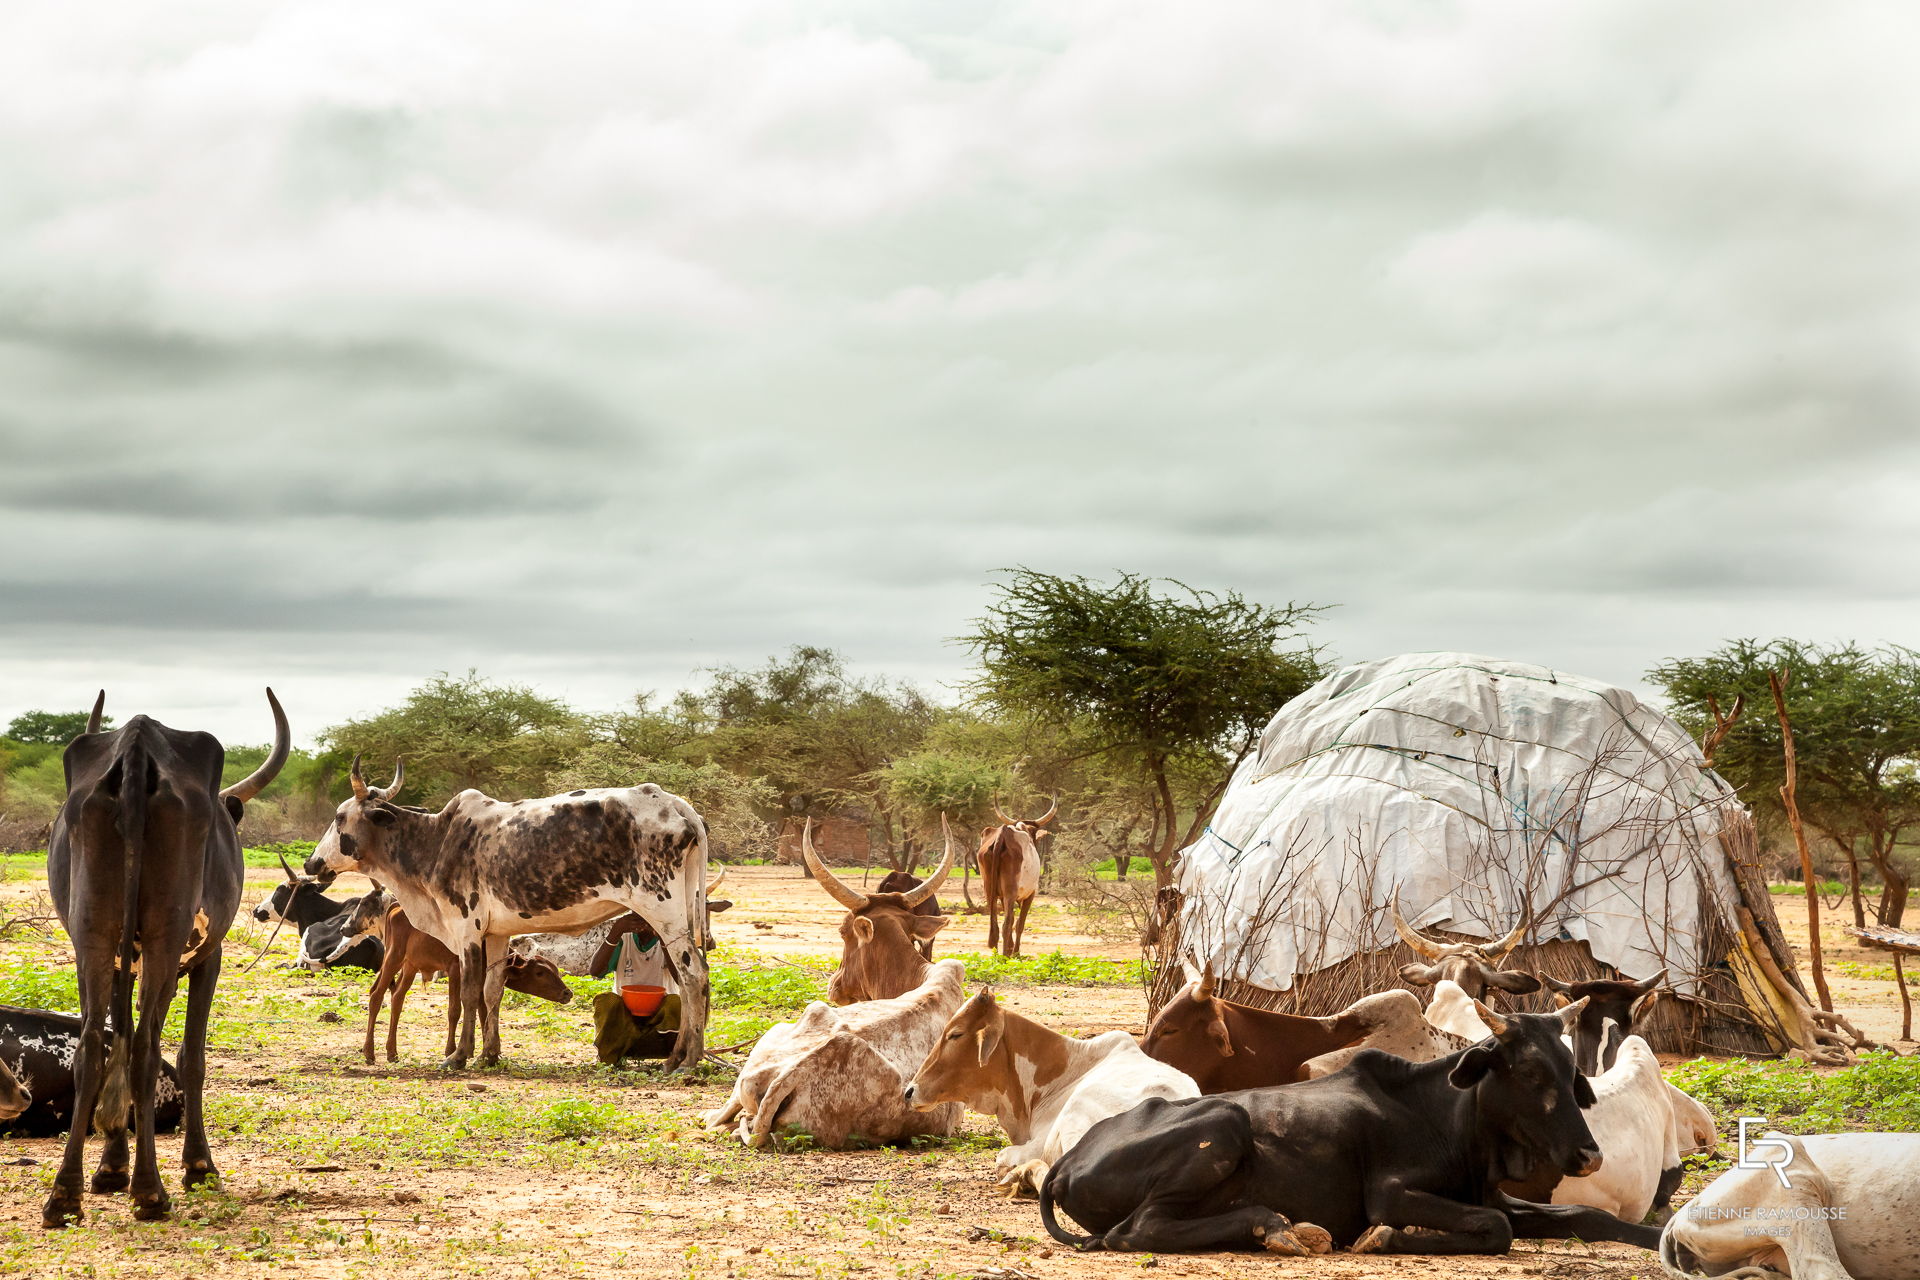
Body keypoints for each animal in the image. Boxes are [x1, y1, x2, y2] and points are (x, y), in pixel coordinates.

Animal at [307, 759, 714, 1074]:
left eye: (339, 817)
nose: (312, 864)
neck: (435, 842)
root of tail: (679, 806)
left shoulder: (466, 929)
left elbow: (469, 994)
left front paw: (459, 1056)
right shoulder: (496, 934)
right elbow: (492, 992)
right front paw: (489, 1054)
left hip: (664, 913)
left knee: (694, 977)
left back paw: (687, 1062)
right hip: (676, 920)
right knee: (690, 980)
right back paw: (677, 1056)